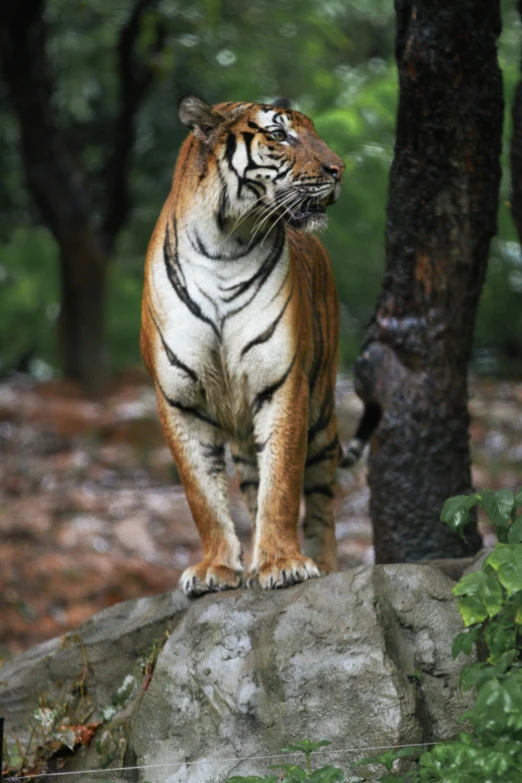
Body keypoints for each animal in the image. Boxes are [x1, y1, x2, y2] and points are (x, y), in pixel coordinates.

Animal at [141, 99, 378, 600]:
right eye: (280, 135)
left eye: (314, 131)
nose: (339, 169)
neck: (223, 247)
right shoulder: (178, 399)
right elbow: (202, 495)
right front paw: (217, 568)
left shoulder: (282, 383)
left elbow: (282, 484)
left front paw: (283, 563)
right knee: (251, 483)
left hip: (322, 410)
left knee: (321, 498)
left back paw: (324, 564)